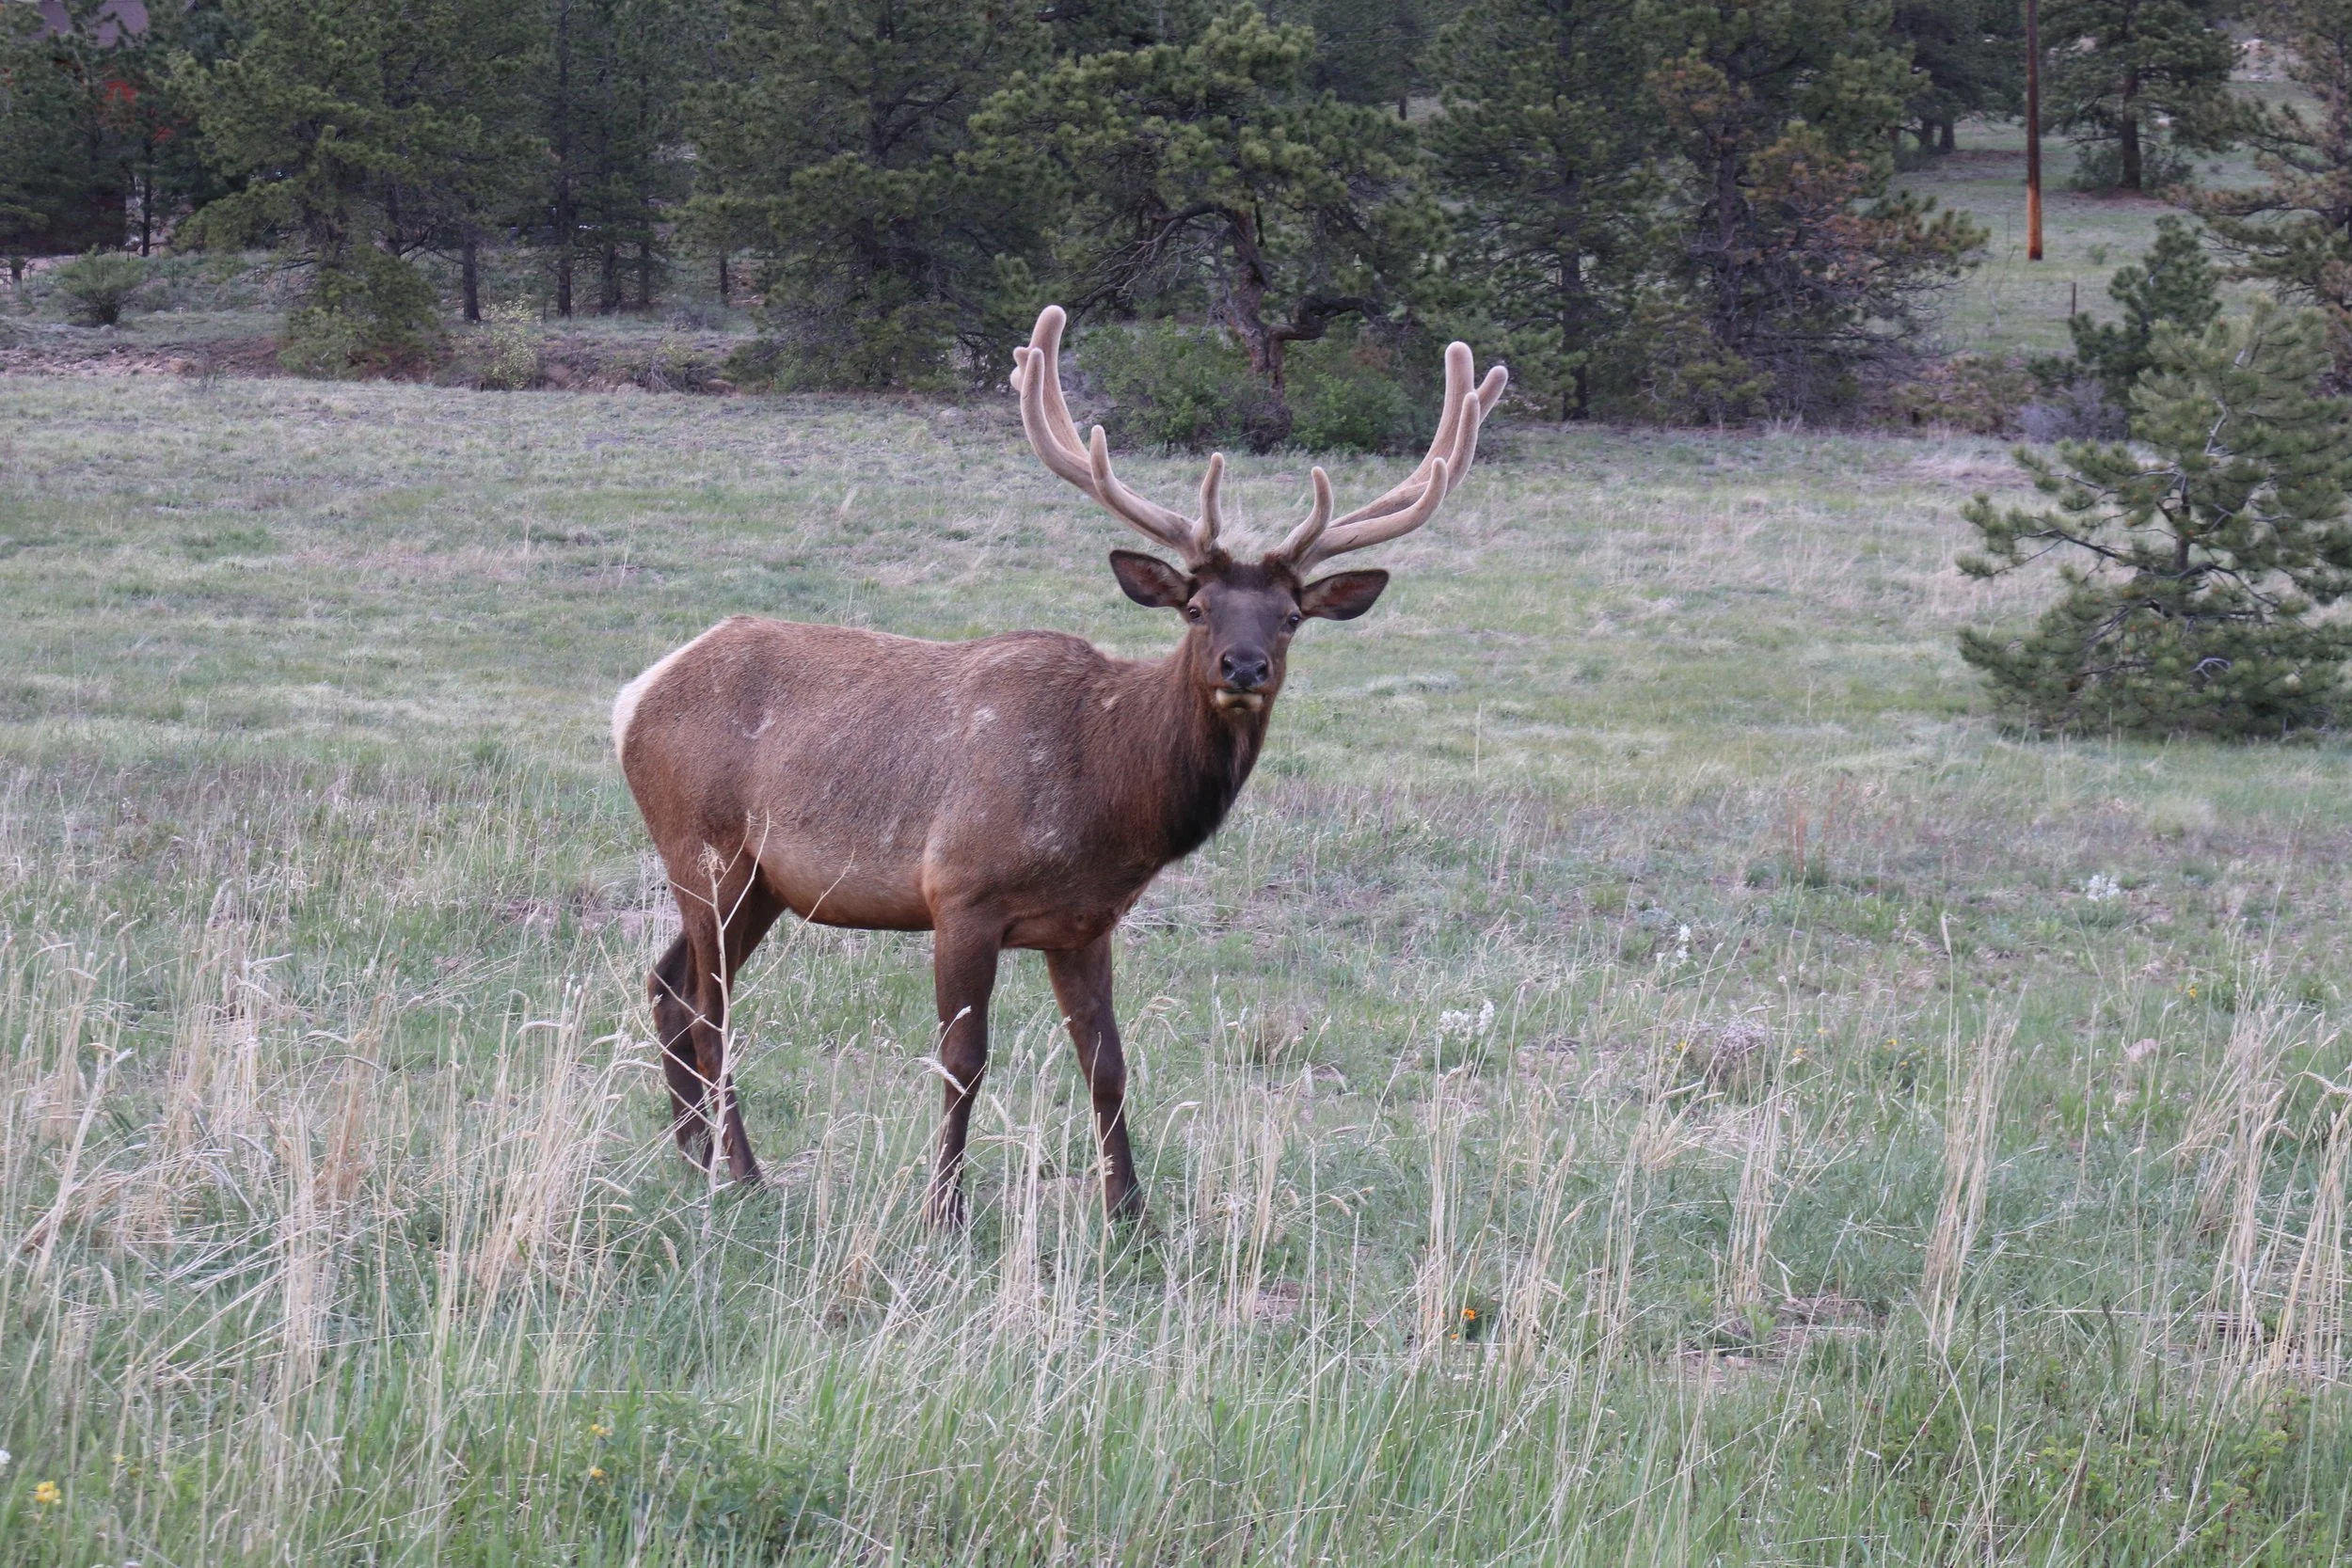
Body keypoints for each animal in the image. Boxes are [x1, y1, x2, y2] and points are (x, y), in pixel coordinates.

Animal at [613, 305, 1505, 1224]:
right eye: (1195, 608)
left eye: (1291, 615)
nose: (1244, 666)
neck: (1106, 799)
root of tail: (635, 695)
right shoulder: (959, 890)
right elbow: (962, 1059)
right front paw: (944, 1208)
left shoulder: (1085, 922)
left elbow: (1107, 1062)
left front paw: (1131, 1209)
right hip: (704, 849)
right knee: (710, 1009)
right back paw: (743, 1170)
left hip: (762, 882)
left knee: (668, 985)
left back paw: (691, 1154)